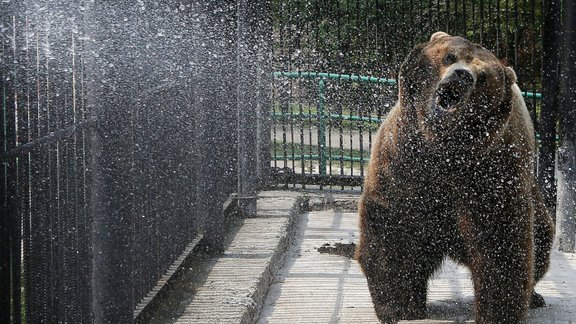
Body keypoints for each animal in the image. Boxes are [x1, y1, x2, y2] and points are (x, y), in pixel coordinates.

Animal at [358, 32, 556, 324]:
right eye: (449, 56)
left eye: (483, 76)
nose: (462, 75)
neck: (444, 148)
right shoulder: (402, 160)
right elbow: (392, 229)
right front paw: (399, 307)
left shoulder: (492, 171)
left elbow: (501, 242)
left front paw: (497, 313)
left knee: (541, 242)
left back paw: (534, 296)